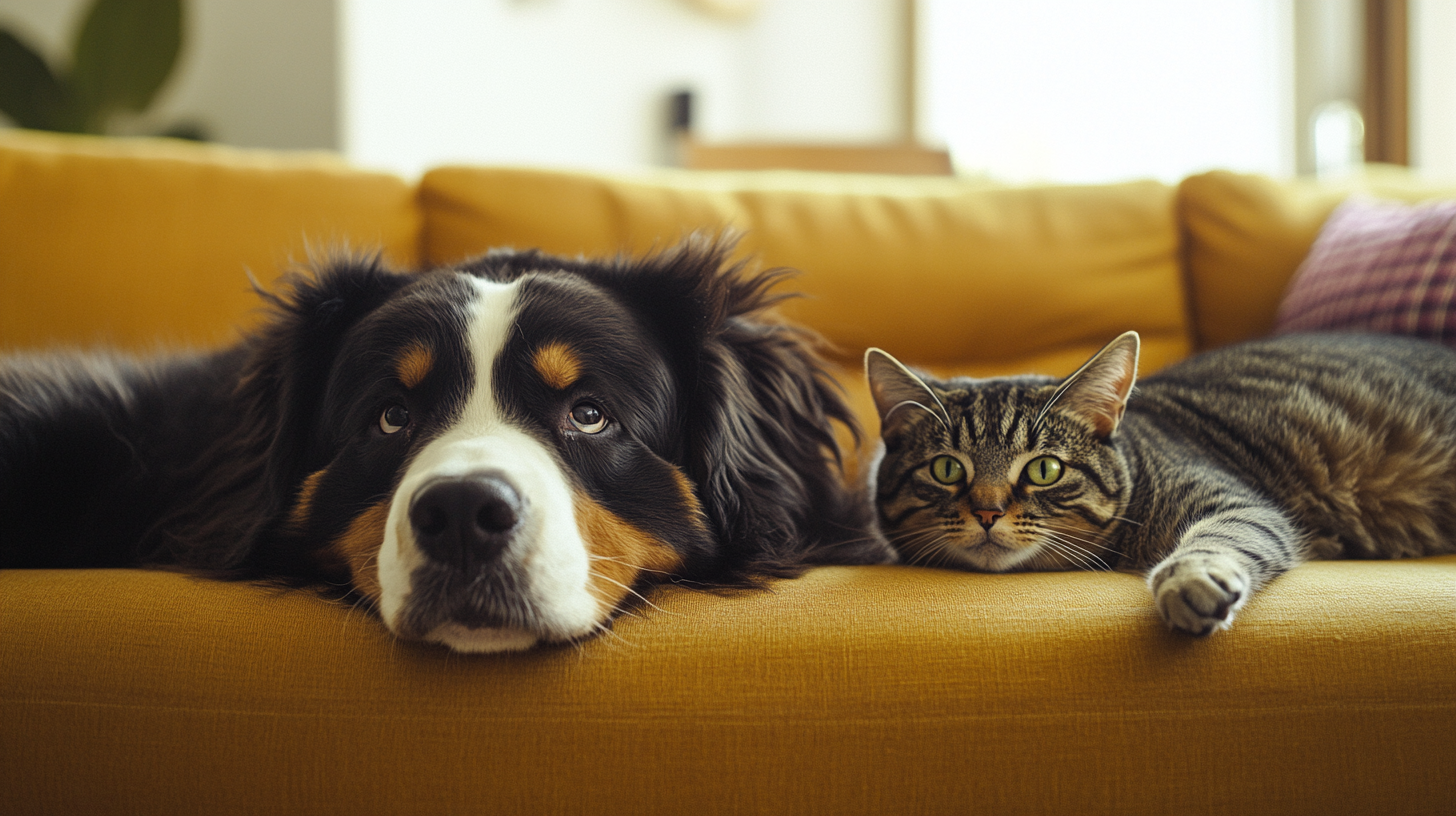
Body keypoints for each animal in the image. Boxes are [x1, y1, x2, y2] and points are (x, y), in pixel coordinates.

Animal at [861, 332, 1456, 638]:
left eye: (1044, 470)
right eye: (947, 469)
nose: (986, 512)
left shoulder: (1235, 504)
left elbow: (1216, 540)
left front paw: (1189, 581)